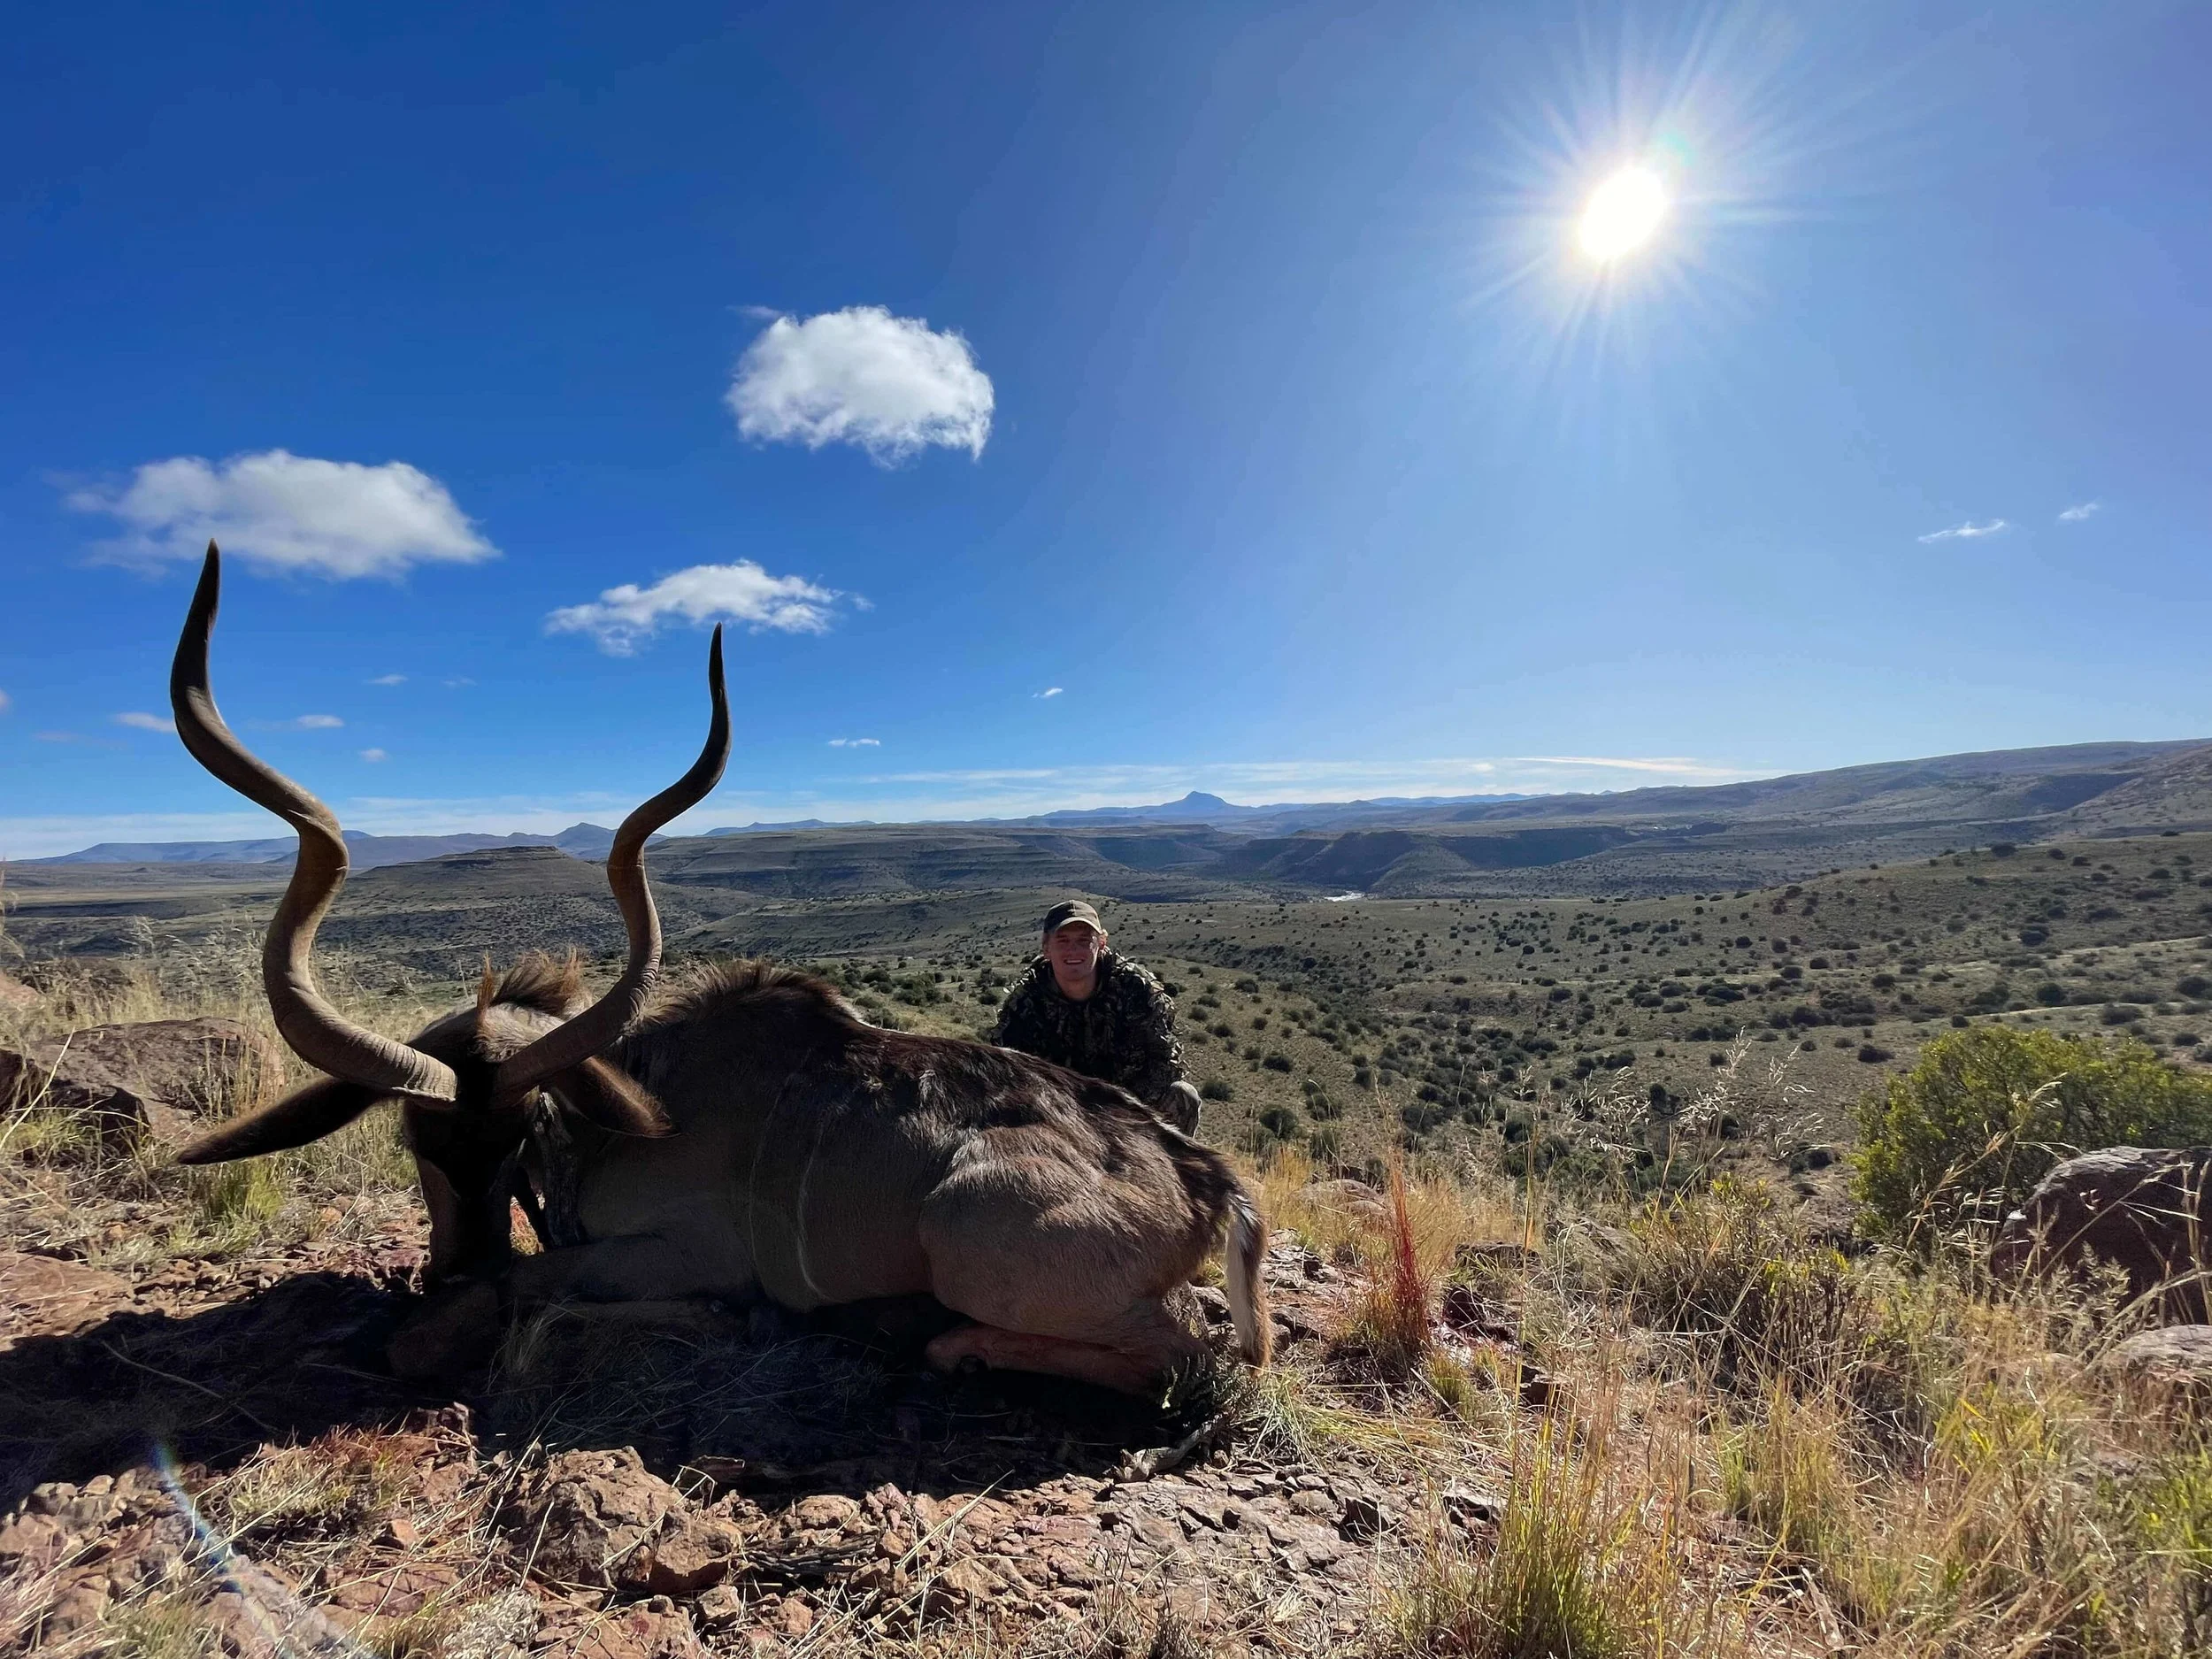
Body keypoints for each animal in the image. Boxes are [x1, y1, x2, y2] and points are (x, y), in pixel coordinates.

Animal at [168, 545, 1268, 1395]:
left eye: (517, 1132)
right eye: (415, 1137)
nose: (457, 1261)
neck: (625, 1113)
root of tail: (1205, 1179)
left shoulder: (691, 1254)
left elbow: (530, 1292)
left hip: (967, 1227)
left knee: (1193, 1353)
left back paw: (932, 1339)